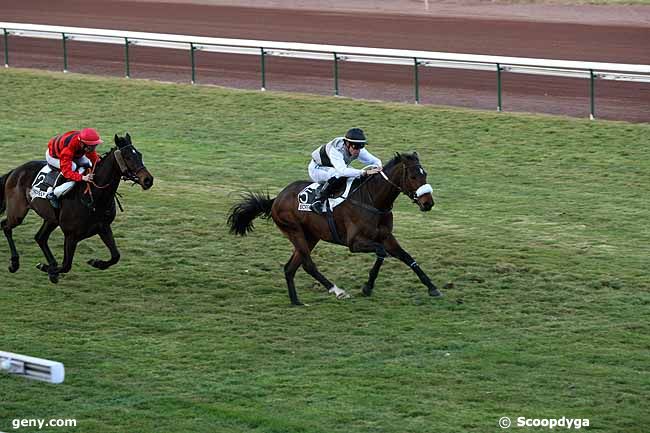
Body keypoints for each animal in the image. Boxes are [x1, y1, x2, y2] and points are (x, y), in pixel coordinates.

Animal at [0, 133, 154, 282]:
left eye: (139, 155)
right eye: (128, 157)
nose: (148, 180)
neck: (94, 197)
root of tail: (15, 171)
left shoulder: (103, 227)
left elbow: (116, 256)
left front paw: (96, 262)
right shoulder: (71, 235)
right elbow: (66, 266)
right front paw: (46, 268)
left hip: (51, 219)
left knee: (40, 238)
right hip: (18, 213)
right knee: (6, 226)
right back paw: (15, 263)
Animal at [227, 151, 440, 304]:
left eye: (425, 174)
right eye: (413, 176)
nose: (428, 203)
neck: (372, 201)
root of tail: (276, 199)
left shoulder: (387, 237)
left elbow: (408, 258)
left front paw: (432, 287)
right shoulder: (355, 243)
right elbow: (381, 253)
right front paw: (367, 286)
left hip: (311, 236)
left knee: (290, 268)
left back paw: (296, 301)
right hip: (295, 231)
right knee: (308, 265)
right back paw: (337, 291)